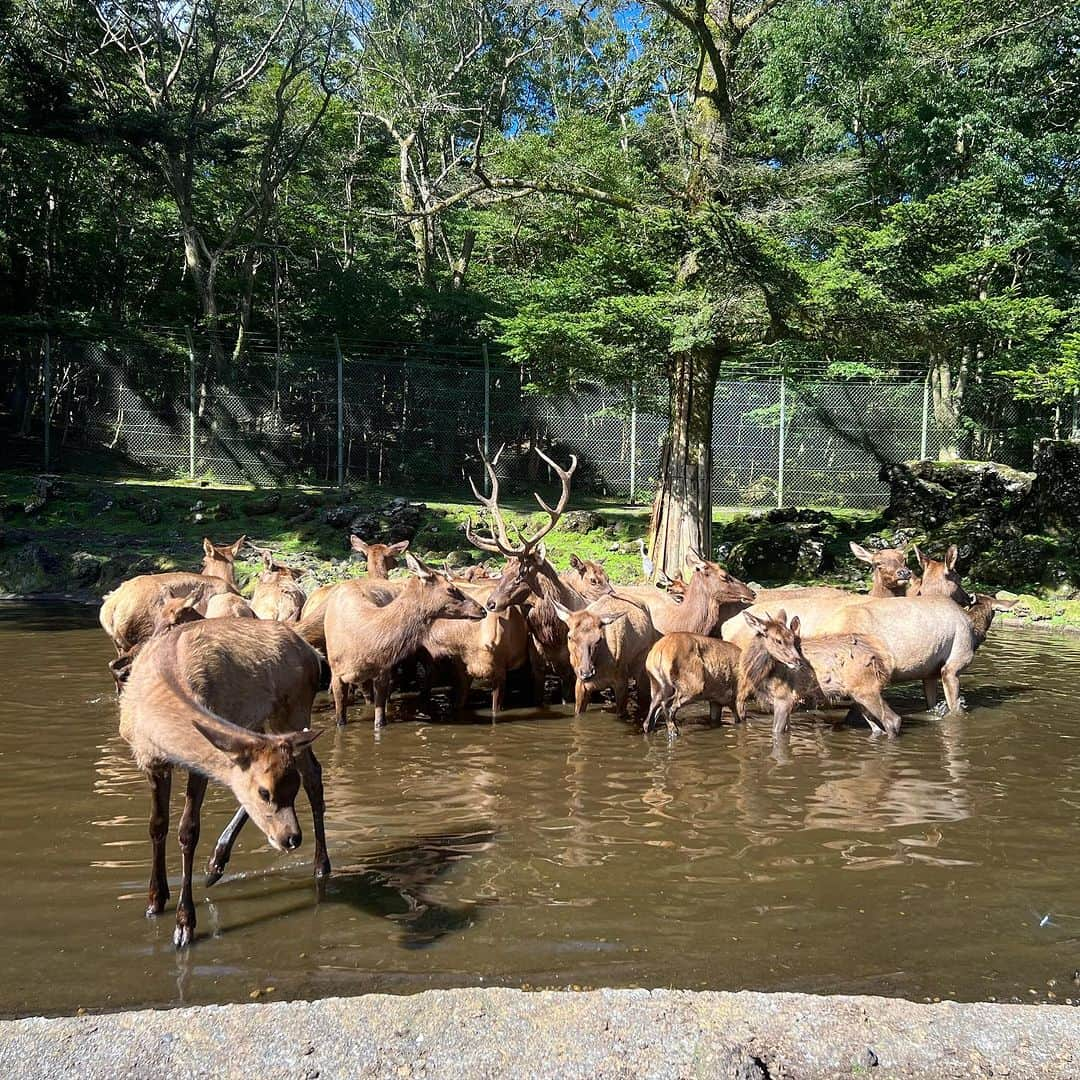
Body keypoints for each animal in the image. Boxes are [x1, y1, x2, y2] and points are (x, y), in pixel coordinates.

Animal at [119, 622, 324, 950]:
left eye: (290, 791)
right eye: (264, 792)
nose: (291, 838)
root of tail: (313, 654)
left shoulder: (198, 767)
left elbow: (188, 831)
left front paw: (184, 925)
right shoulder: (152, 760)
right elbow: (157, 825)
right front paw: (155, 900)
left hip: (293, 709)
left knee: (314, 776)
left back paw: (320, 866)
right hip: (265, 723)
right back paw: (216, 865)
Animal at [324, 557, 486, 725]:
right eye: (451, 589)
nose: (482, 609)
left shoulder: (383, 671)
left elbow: (380, 720)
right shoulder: (336, 674)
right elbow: (340, 719)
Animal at [734, 613, 902, 738]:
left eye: (792, 639)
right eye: (778, 640)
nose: (798, 661)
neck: (761, 674)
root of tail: (883, 658)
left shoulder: (784, 697)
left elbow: (776, 732)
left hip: (866, 689)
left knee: (893, 720)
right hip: (858, 695)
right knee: (877, 728)